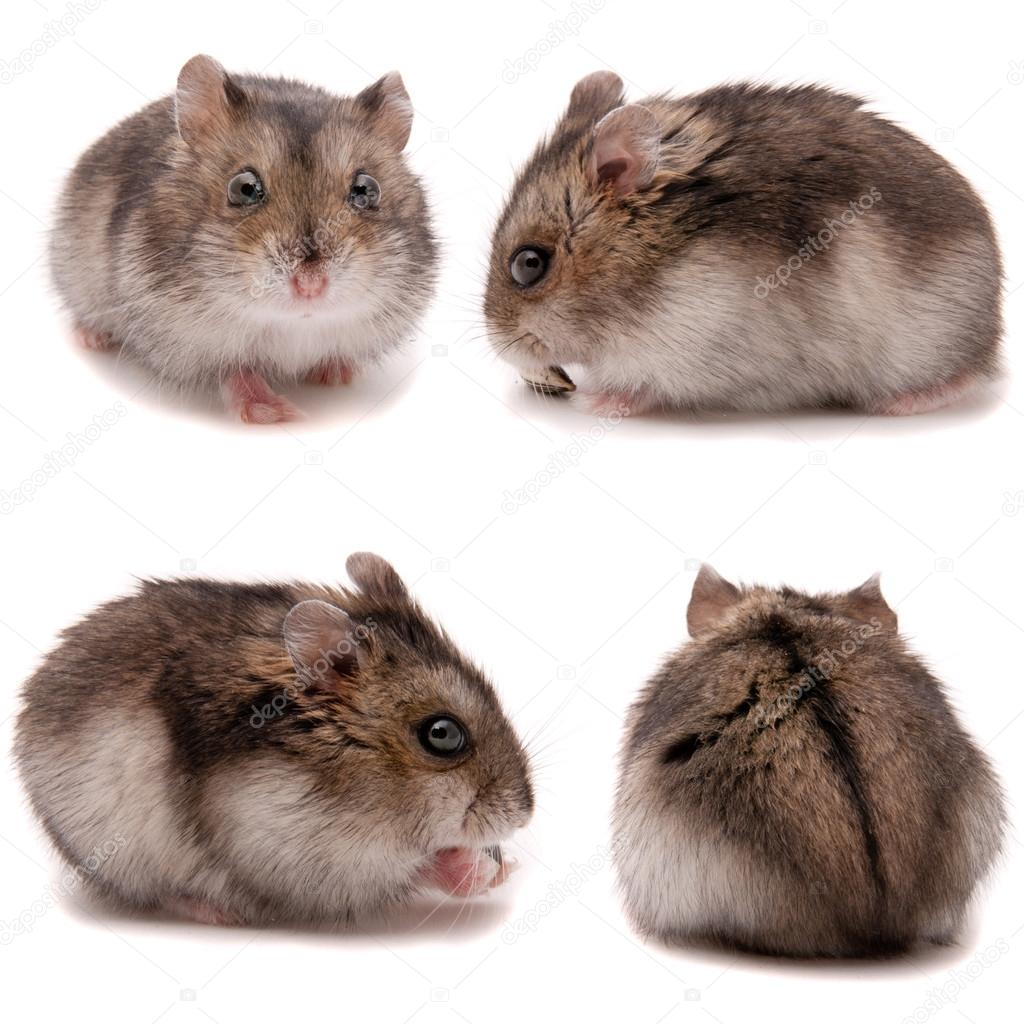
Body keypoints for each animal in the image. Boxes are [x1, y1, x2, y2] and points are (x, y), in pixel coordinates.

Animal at [14, 554, 533, 926]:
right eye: (442, 735)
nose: (524, 816)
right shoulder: (303, 850)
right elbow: (410, 867)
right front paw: (486, 870)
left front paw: (506, 867)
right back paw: (214, 911)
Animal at [50, 56, 436, 424]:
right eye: (244, 188)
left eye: (366, 189)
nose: (310, 285)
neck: (292, 325)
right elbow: (238, 373)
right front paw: (279, 415)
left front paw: (338, 375)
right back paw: (90, 338)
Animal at [485, 73, 1003, 416]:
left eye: (528, 264)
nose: (501, 349)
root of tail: (993, 326)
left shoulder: (696, 348)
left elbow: (645, 386)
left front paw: (597, 400)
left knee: (967, 376)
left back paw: (903, 403)